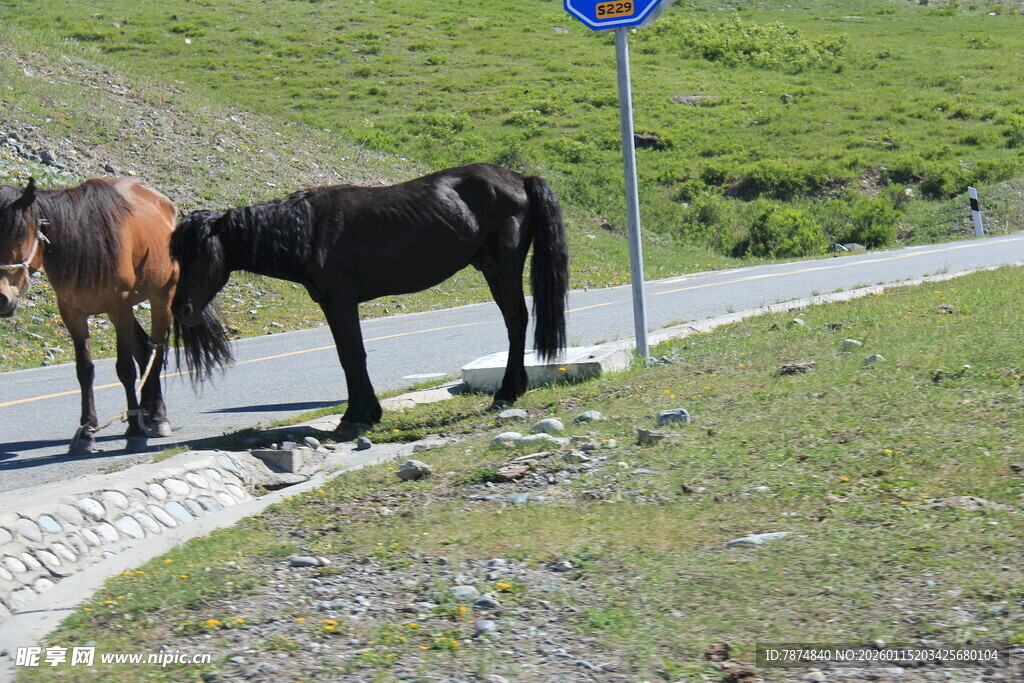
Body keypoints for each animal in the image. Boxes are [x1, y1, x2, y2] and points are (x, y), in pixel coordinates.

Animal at [0, 177, 232, 454]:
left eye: (19, 234)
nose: (2, 298)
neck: (85, 244)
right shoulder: (72, 312)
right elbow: (85, 371)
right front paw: (86, 431)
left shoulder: (118, 307)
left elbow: (125, 369)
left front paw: (134, 432)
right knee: (144, 350)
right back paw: (147, 413)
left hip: (161, 299)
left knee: (157, 352)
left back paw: (158, 418)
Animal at [171, 163, 569, 434]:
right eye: (177, 255)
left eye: (202, 253)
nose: (181, 309)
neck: (310, 230)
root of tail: (520, 178)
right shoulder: (331, 305)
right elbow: (347, 356)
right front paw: (363, 413)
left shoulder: (342, 302)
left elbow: (352, 355)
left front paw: (356, 417)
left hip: (503, 267)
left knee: (516, 321)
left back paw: (507, 392)